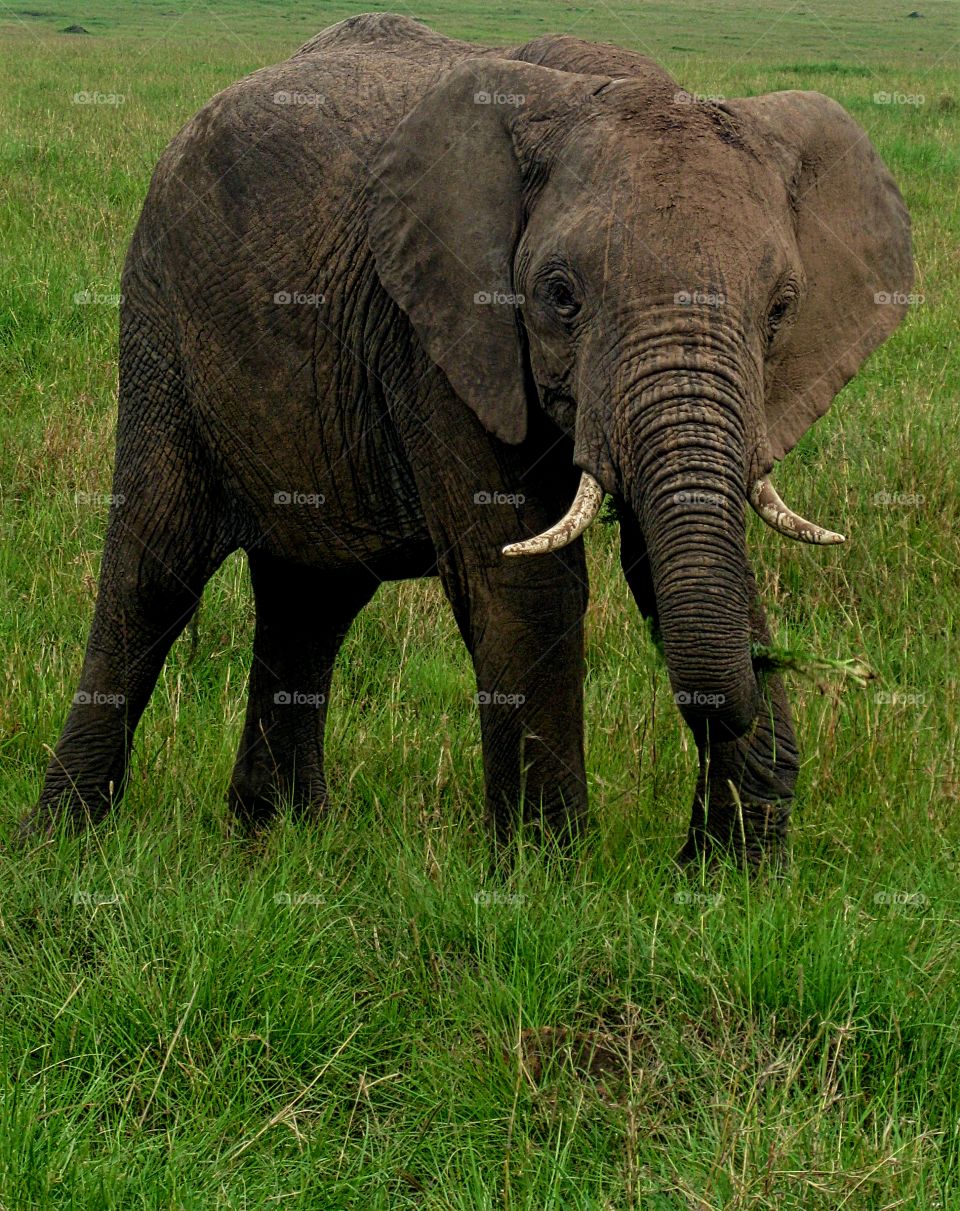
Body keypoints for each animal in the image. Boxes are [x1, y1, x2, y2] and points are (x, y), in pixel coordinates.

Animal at [18, 9, 910, 862]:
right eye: (559, 295)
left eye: (781, 308)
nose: (822, 676)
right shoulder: (440, 330)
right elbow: (525, 583)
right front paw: (551, 876)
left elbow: (673, 559)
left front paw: (737, 876)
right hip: (161, 323)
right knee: (154, 572)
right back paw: (64, 840)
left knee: (313, 595)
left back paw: (278, 838)